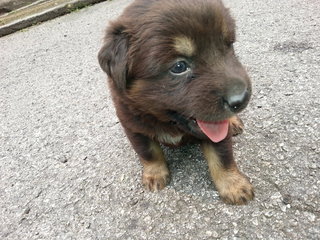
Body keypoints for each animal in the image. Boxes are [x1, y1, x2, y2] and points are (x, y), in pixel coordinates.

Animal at [99, 0, 254, 204]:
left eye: (229, 46)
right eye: (179, 67)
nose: (241, 99)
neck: (169, 122)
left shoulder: (216, 129)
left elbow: (222, 156)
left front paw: (234, 185)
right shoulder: (133, 126)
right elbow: (148, 152)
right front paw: (154, 174)